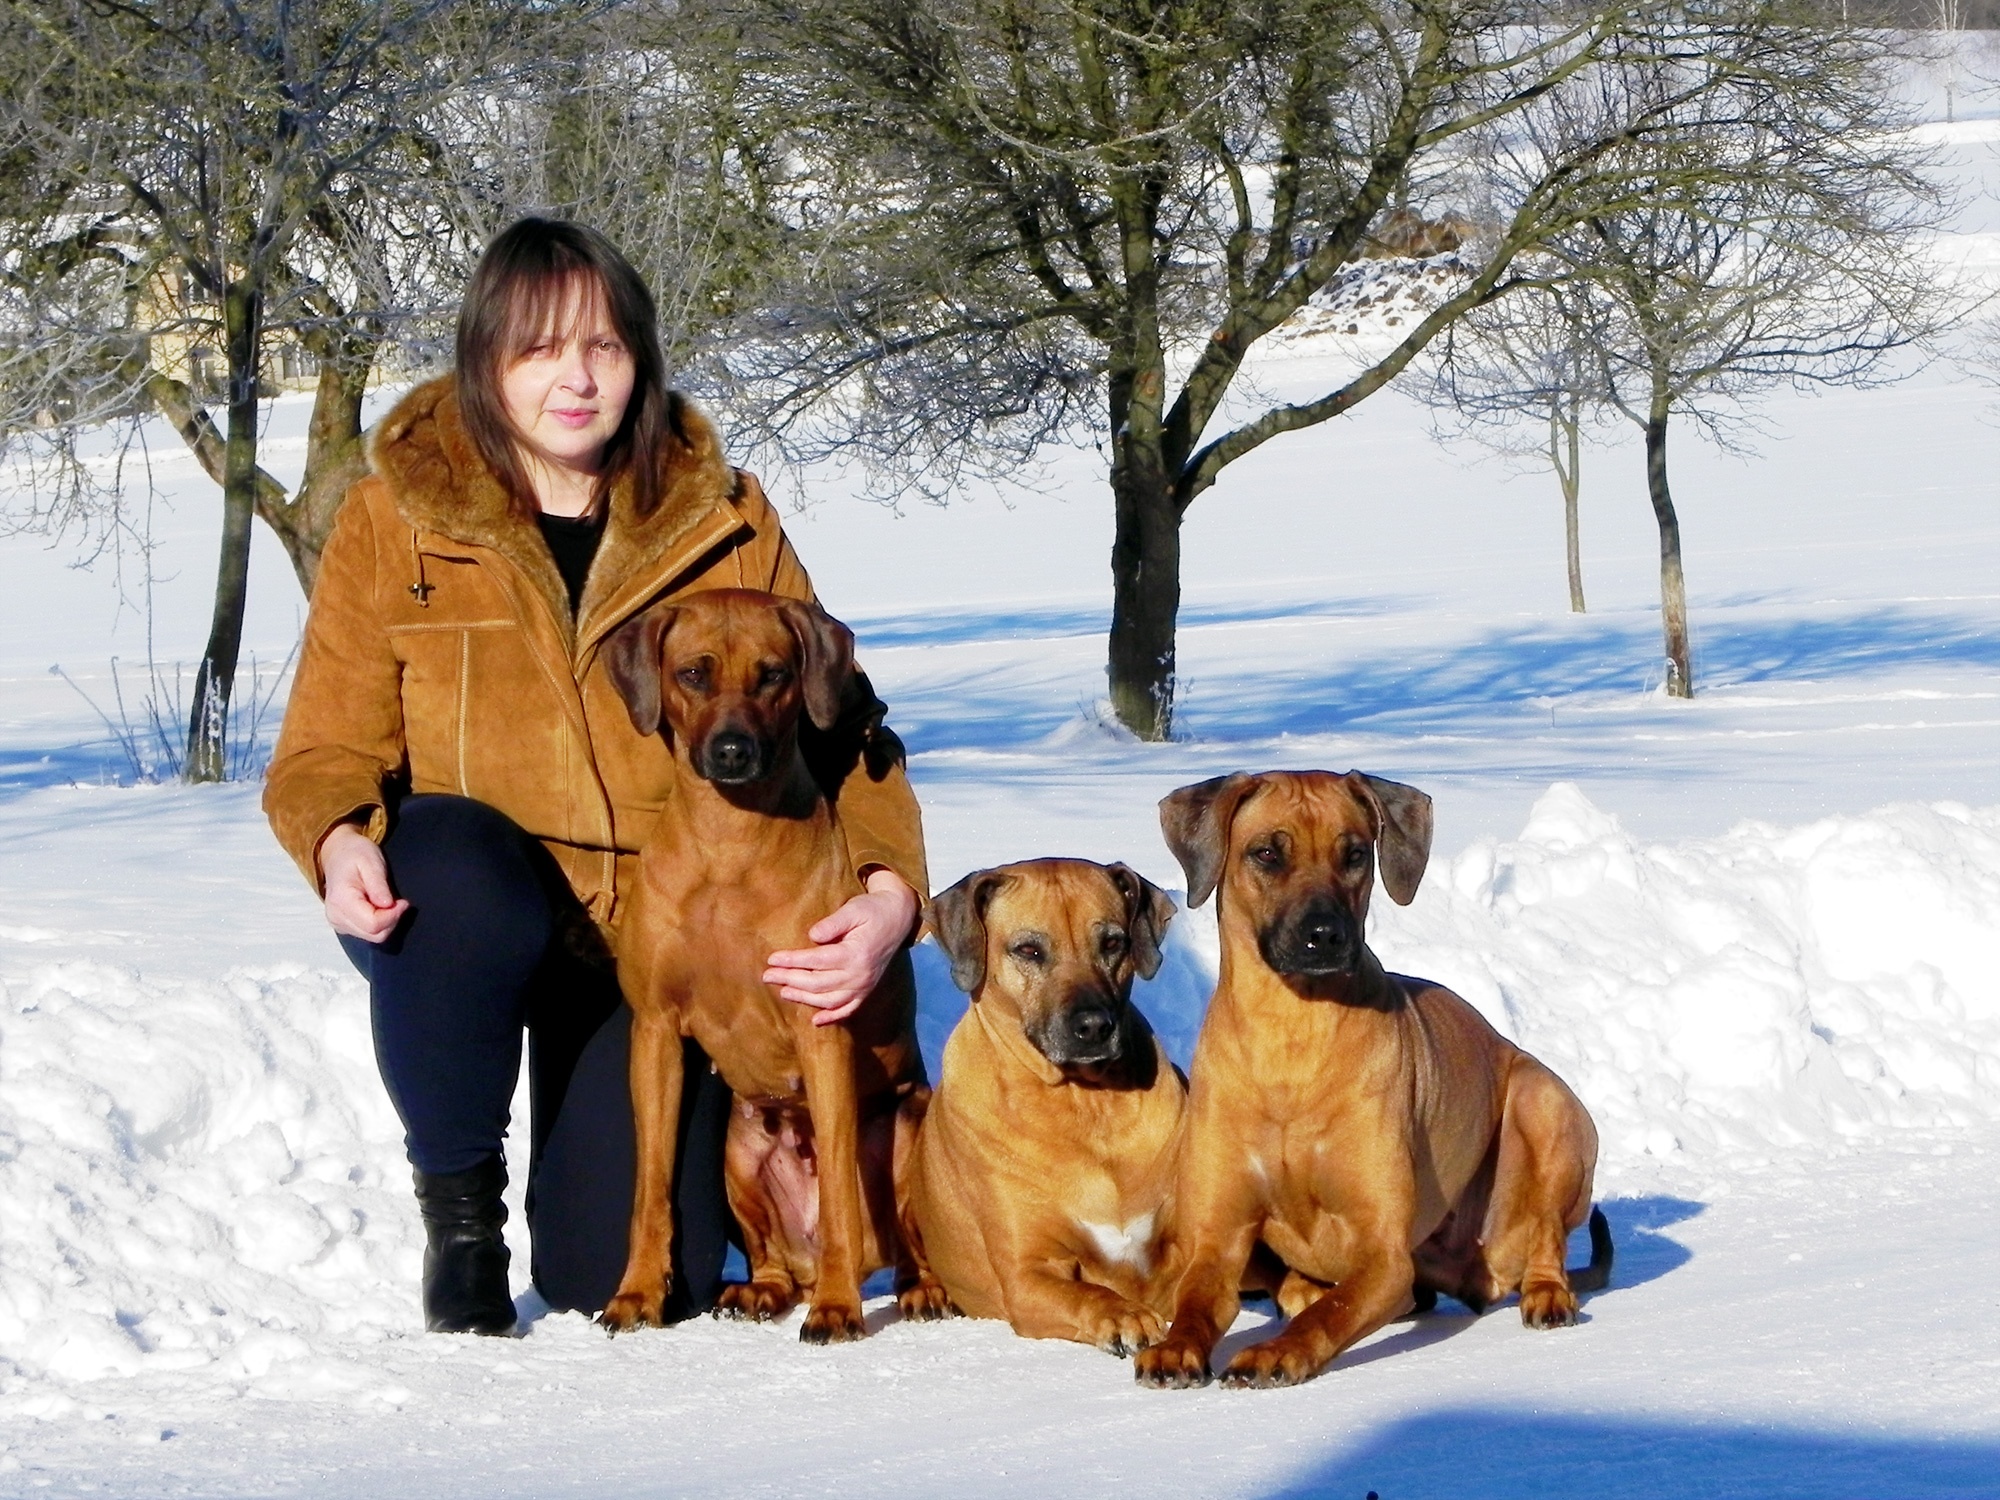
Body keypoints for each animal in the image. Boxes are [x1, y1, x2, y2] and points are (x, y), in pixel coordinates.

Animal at [592, 588, 944, 1336]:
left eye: (774, 674)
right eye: (693, 674)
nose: (732, 750)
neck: (728, 846)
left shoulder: (821, 1029)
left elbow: (838, 1191)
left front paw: (838, 1310)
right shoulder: (655, 1031)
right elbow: (650, 1186)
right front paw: (637, 1293)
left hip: (907, 1132)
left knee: (902, 1238)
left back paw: (908, 1288)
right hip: (739, 1150)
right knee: (770, 1257)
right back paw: (759, 1290)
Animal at [916, 856, 1184, 1360]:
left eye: (1113, 943)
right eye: (1029, 950)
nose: (1095, 1025)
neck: (1085, 1101)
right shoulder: (1027, 1275)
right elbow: (1087, 1294)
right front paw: (1126, 1316)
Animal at [1136, 776, 1616, 1400]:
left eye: (1355, 854)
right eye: (1267, 853)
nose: (1325, 935)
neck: (1289, 1037)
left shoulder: (1385, 1255)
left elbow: (1331, 1311)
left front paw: (1275, 1352)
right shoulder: (1216, 1238)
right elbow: (1195, 1303)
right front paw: (1175, 1347)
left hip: (1544, 1101)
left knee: (1547, 1231)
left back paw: (1548, 1291)